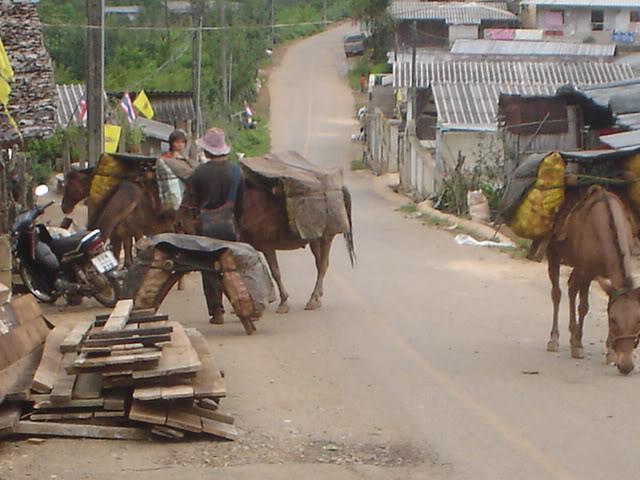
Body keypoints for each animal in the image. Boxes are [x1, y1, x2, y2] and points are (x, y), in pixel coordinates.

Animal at [544, 185, 640, 376]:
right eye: (613, 320)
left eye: (639, 321)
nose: (626, 366)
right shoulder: (587, 272)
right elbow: (584, 306)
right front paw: (578, 345)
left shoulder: (608, 278)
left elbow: (607, 302)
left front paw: (610, 352)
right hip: (554, 253)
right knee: (557, 293)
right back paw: (555, 339)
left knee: (571, 288)